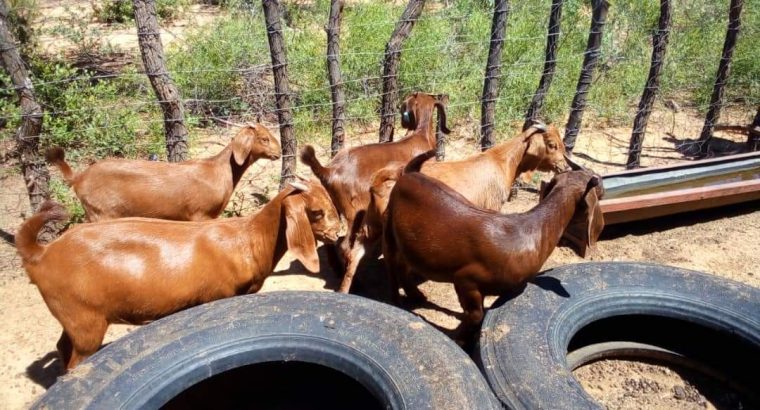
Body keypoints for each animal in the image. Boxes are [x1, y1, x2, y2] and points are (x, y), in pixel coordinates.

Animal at [15, 178, 340, 370]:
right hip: (86, 324)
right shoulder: (218, 296)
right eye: (317, 212)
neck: (248, 240)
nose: (339, 233)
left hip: (74, 317)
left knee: (61, 346)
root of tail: (40, 253)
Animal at [45, 124, 281, 222]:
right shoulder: (200, 215)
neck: (219, 171)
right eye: (264, 138)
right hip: (101, 213)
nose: (278, 153)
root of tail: (79, 177)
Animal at [337, 124, 570, 293]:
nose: (565, 166)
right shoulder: (492, 207)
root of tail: (380, 182)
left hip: (372, 225)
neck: (501, 161)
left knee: (354, 252)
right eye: (552, 144)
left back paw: (344, 290)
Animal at [382, 152, 604, 339]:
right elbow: (475, 314)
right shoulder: (466, 280)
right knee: (392, 267)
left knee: (404, 267)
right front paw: (455, 337)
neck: (530, 231)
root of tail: (408, 174)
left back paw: (417, 296)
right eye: (599, 189)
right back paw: (396, 302)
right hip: (389, 230)